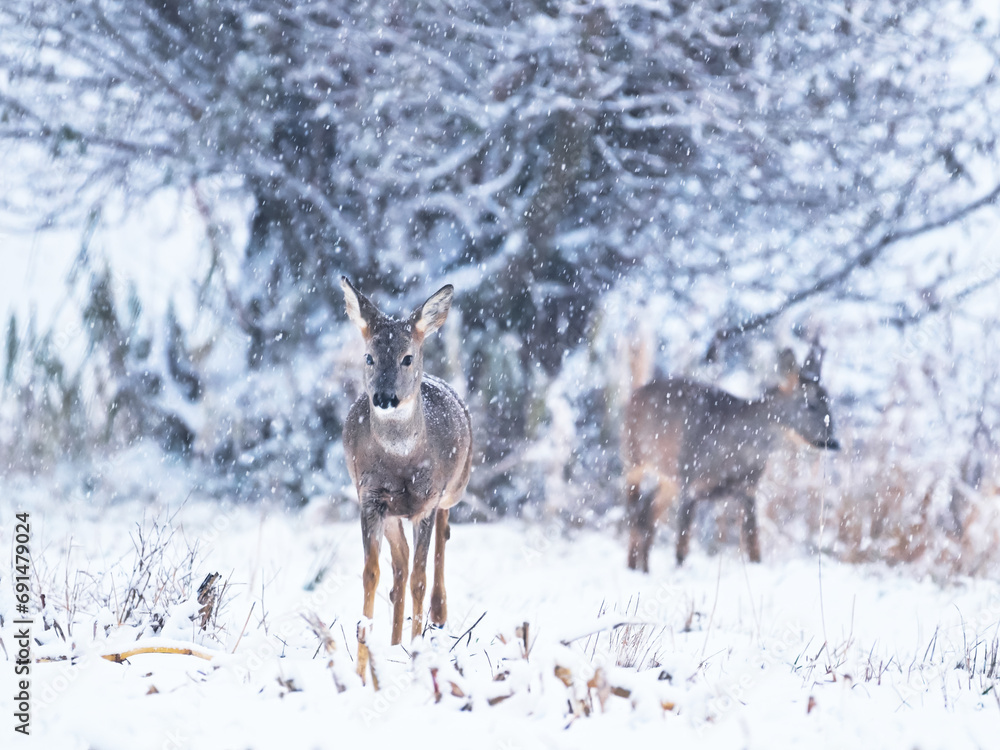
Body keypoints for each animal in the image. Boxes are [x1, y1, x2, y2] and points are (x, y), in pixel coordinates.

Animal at [340, 277, 472, 688]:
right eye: (369, 357)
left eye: (407, 357)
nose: (384, 397)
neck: (401, 463)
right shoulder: (370, 497)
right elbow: (372, 573)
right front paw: (363, 669)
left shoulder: (425, 502)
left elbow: (420, 579)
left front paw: (416, 664)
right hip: (392, 513)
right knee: (397, 569)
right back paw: (395, 642)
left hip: (454, 488)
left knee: (440, 539)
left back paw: (438, 615)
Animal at [623, 343, 839, 572]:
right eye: (811, 404)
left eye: (828, 402)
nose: (833, 441)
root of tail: (635, 394)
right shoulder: (689, 480)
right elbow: (681, 546)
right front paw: (679, 572)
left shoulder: (749, 489)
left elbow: (754, 546)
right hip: (633, 458)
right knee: (634, 511)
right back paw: (632, 567)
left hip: (668, 478)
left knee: (647, 511)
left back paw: (645, 569)